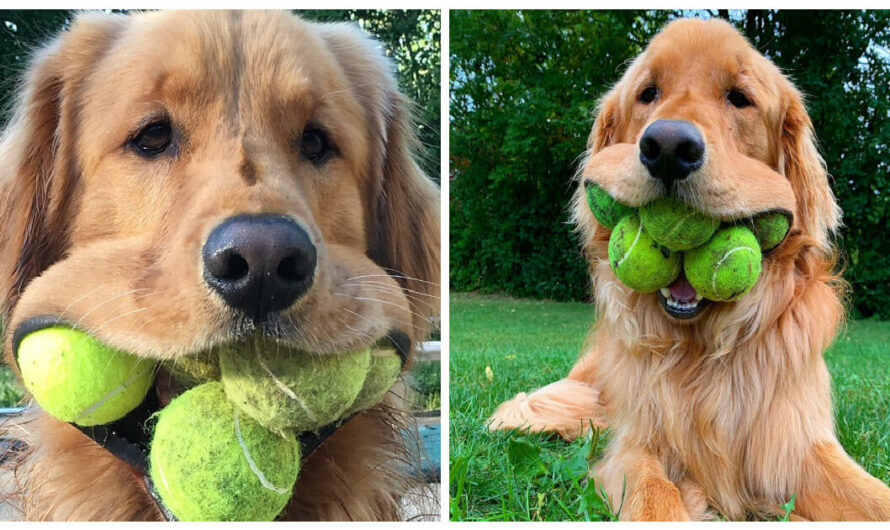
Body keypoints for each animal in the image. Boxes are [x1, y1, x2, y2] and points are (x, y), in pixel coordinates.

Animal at [490, 17, 888, 520]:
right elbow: (654, 492)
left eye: (739, 97)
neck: (703, 352)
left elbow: (872, 495)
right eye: (648, 93)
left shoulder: (795, 441)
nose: (667, 147)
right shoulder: (636, 443)